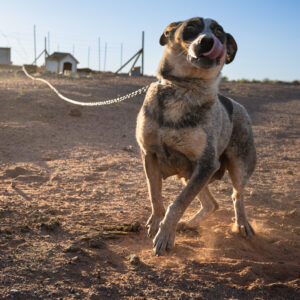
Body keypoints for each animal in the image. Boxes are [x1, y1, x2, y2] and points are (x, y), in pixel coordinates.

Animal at [136, 16, 255, 255]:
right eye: (191, 27)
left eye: (219, 33)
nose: (207, 41)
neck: (183, 89)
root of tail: (237, 105)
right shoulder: (149, 154)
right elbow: (155, 194)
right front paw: (156, 222)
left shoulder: (207, 163)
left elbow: (178, 203)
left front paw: (165, 235)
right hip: (190, 174)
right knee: (212, 204)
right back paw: (189, 223)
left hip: (236, 165)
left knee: (237, 196)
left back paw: (242, 224)